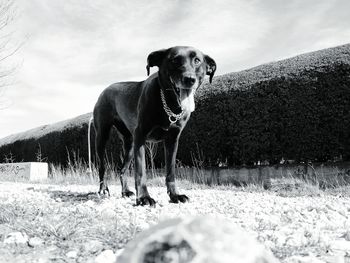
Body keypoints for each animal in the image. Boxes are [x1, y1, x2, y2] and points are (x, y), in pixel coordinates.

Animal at [91, 46, 215, 207]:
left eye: (197, 60)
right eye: (174, 60)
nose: (189, 79)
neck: (169, 105)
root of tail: (105, 89)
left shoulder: (172, 141)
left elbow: (170, 172)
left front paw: (174, 195)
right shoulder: (141, 137)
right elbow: (141, 172)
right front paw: (144, 197)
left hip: (130, 145)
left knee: (122, 170)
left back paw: (125, 192)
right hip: (102, 137)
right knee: (102, 167)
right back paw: (103, 189)